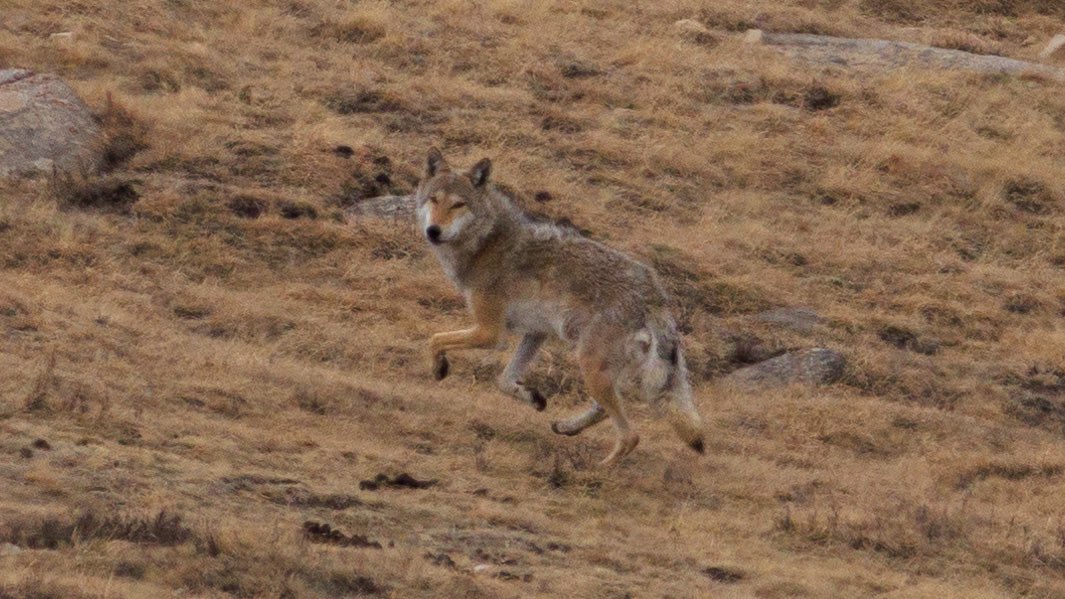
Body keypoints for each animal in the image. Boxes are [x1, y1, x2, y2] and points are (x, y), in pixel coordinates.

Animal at [416, 148, 704, 466]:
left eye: (458, 204)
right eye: (434, 200)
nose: (433, 230)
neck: (486, 242)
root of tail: (655, 294)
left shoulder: (490, 333)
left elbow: (434, 340)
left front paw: (439, 368)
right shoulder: (536, 333)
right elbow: (504, 380)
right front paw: (532, 397)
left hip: (591, 367)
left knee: (631, 435)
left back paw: (596, 469)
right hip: (607, 373)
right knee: (607, 410)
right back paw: (567, 427)